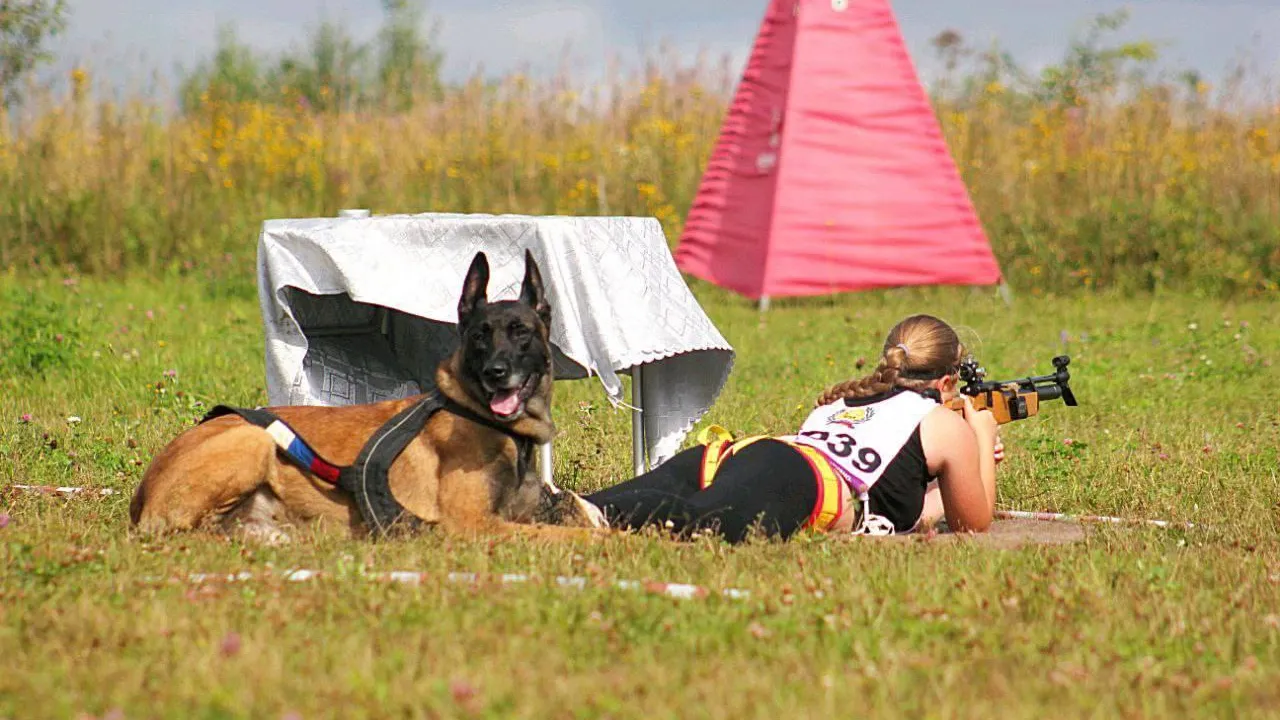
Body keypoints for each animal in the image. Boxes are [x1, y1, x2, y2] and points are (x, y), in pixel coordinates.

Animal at [127, 249, 606, 540]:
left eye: (521, 332)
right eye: (479, 336)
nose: (496, 374)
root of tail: (141, 497)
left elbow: (576, 516)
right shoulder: (473, 525)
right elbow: (574, 536)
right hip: (254, 440)